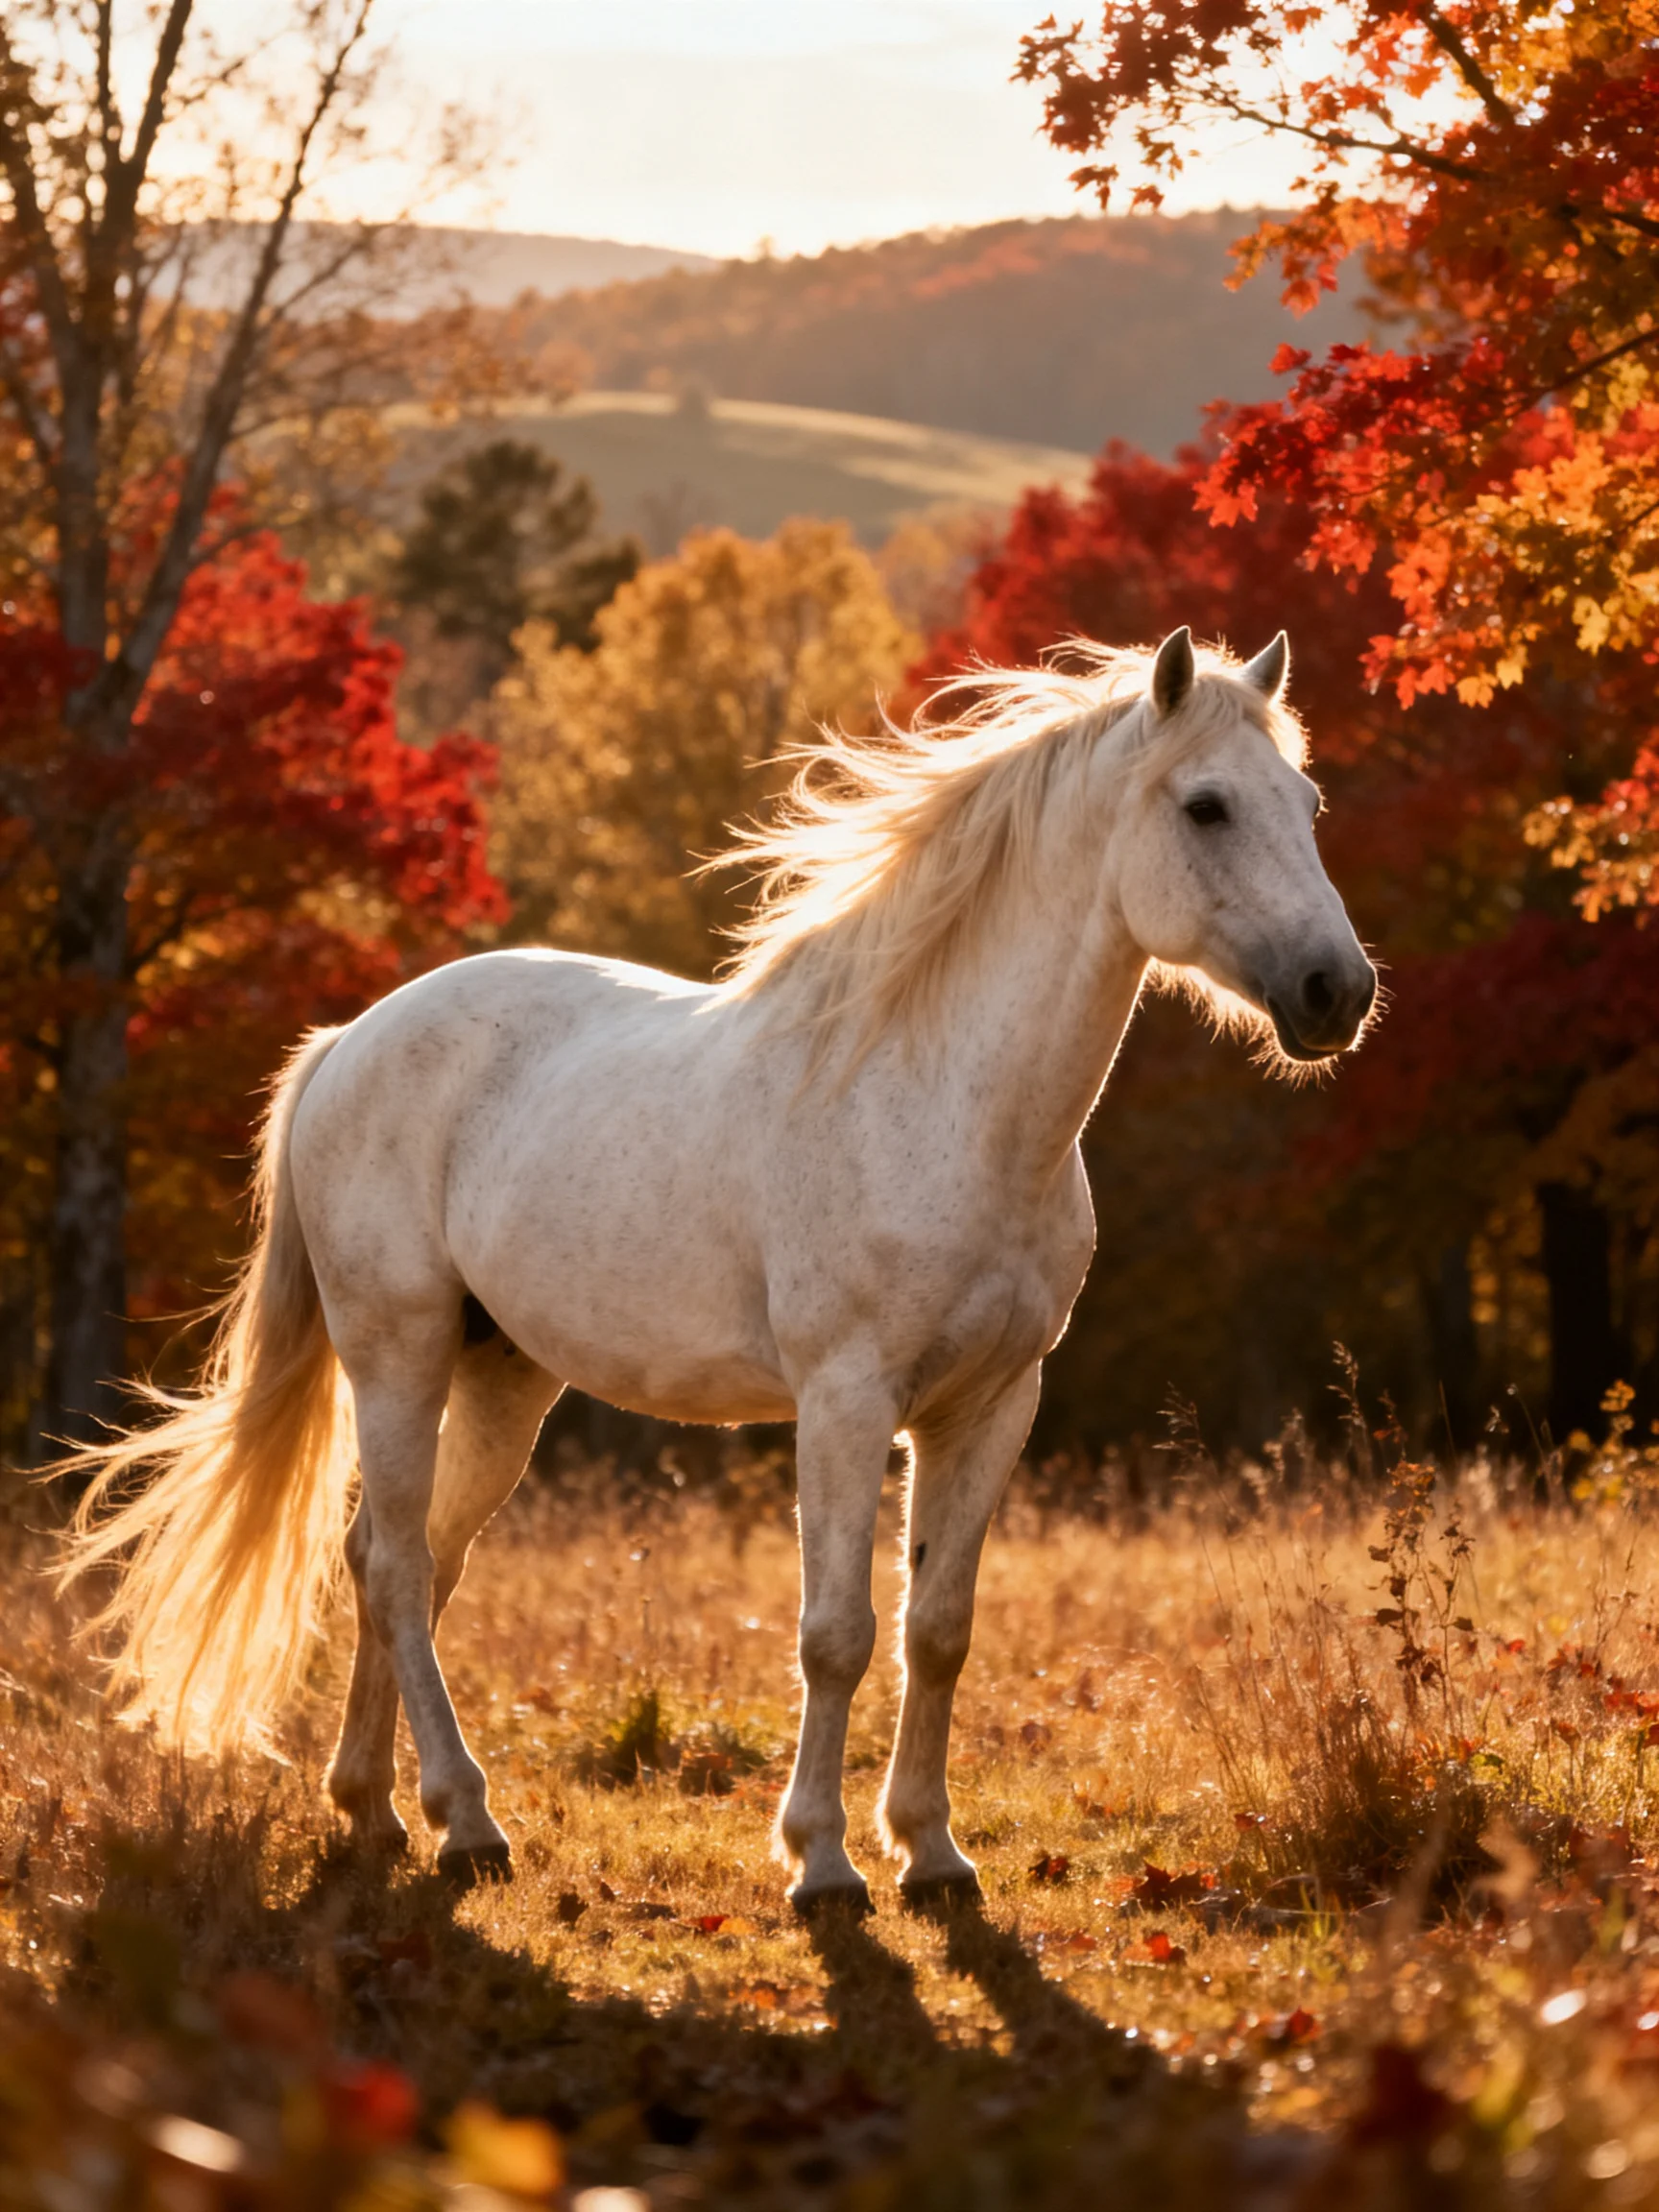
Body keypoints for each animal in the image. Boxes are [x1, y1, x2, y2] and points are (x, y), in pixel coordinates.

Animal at [63, 625, 1377, 1910]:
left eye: (1308, 802)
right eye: (1206, 805)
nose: (1338, 992)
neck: (945, 1100)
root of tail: (347, 1041)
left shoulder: (992, 1405)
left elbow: (938, 1628)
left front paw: (933, 1854)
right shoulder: (846, 1401)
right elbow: (836, 1631)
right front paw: (823, 1864)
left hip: (503, 1380)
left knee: (406, 1564)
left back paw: (375, 1809)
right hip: (398, 1355)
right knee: (391, 1568)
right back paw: (468, 1824)